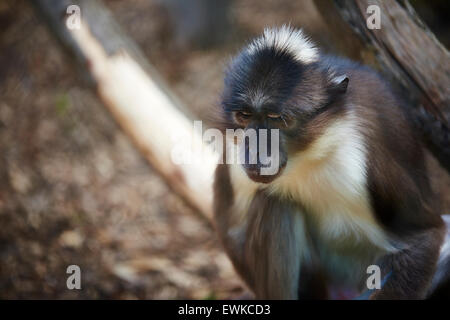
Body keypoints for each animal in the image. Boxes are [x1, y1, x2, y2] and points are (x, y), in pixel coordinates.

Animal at [213, 25, 448, 300]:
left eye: (278, 119)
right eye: (245, 116)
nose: (257, 153)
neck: (304, 157)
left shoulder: (365, 157)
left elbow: (424, 236)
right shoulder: (233, 153)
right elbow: (231, 235)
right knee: (276, 202)